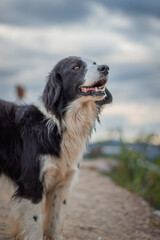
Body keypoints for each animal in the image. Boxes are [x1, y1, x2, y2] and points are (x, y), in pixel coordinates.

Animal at [0, 56, 112, 240]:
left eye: (95, 63)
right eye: (76, 67)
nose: (106, 68)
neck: (61, 123)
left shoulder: (63, 183)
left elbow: (55, 217)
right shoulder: (32, 182)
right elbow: (35, 223)